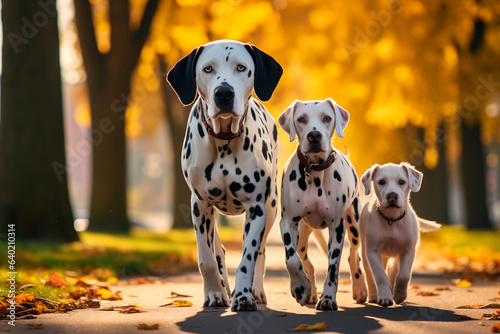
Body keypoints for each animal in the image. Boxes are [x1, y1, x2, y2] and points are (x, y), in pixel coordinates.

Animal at [168, 40, 284, 312]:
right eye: (207, 69)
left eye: (241, 67)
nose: (223, 93)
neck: (223, 140)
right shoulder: (199, 205)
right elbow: (207, 259)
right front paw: (214, 293)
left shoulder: (256, 208)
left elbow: (248, 258)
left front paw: (243, 296)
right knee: (217, 249)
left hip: (272, 206)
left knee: (261, 252)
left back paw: (256, 290)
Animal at [278, 98, 368, 310]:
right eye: (301, 119)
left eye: (327, 118)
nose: (314, 135)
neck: (315, 171)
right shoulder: (288, 222)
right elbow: (291, 259)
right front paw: (300, 288)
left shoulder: (337, 227)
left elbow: (333, 268)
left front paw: (327, 298)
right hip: (303, 233)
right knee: (304, 260)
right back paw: (309, 289)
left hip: (354, 224)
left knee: (354, 255)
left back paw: (360, 288)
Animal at [360, 163, 442, 306]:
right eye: (381, 182)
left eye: (402, 182)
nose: (392, 196)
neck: (391, 220)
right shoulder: (373, 251)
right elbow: (380, 275)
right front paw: (385, 297)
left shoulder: (408, 250)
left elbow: (403, 275)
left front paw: (399, 295)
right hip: (365, 252)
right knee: (369, 274)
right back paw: (374, 295)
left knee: (392, 270)